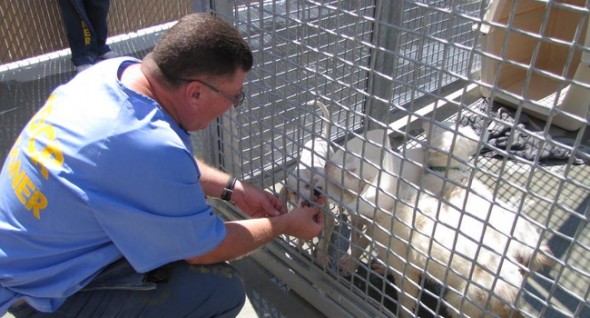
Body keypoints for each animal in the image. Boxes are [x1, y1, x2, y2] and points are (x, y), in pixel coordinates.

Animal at [280, 100, 336, 264]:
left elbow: (324, 241)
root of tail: (320, 137)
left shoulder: (329, 220)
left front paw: (322, 258)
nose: (306, 203)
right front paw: (300, 246)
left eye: (307, 185)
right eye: (293, 193)